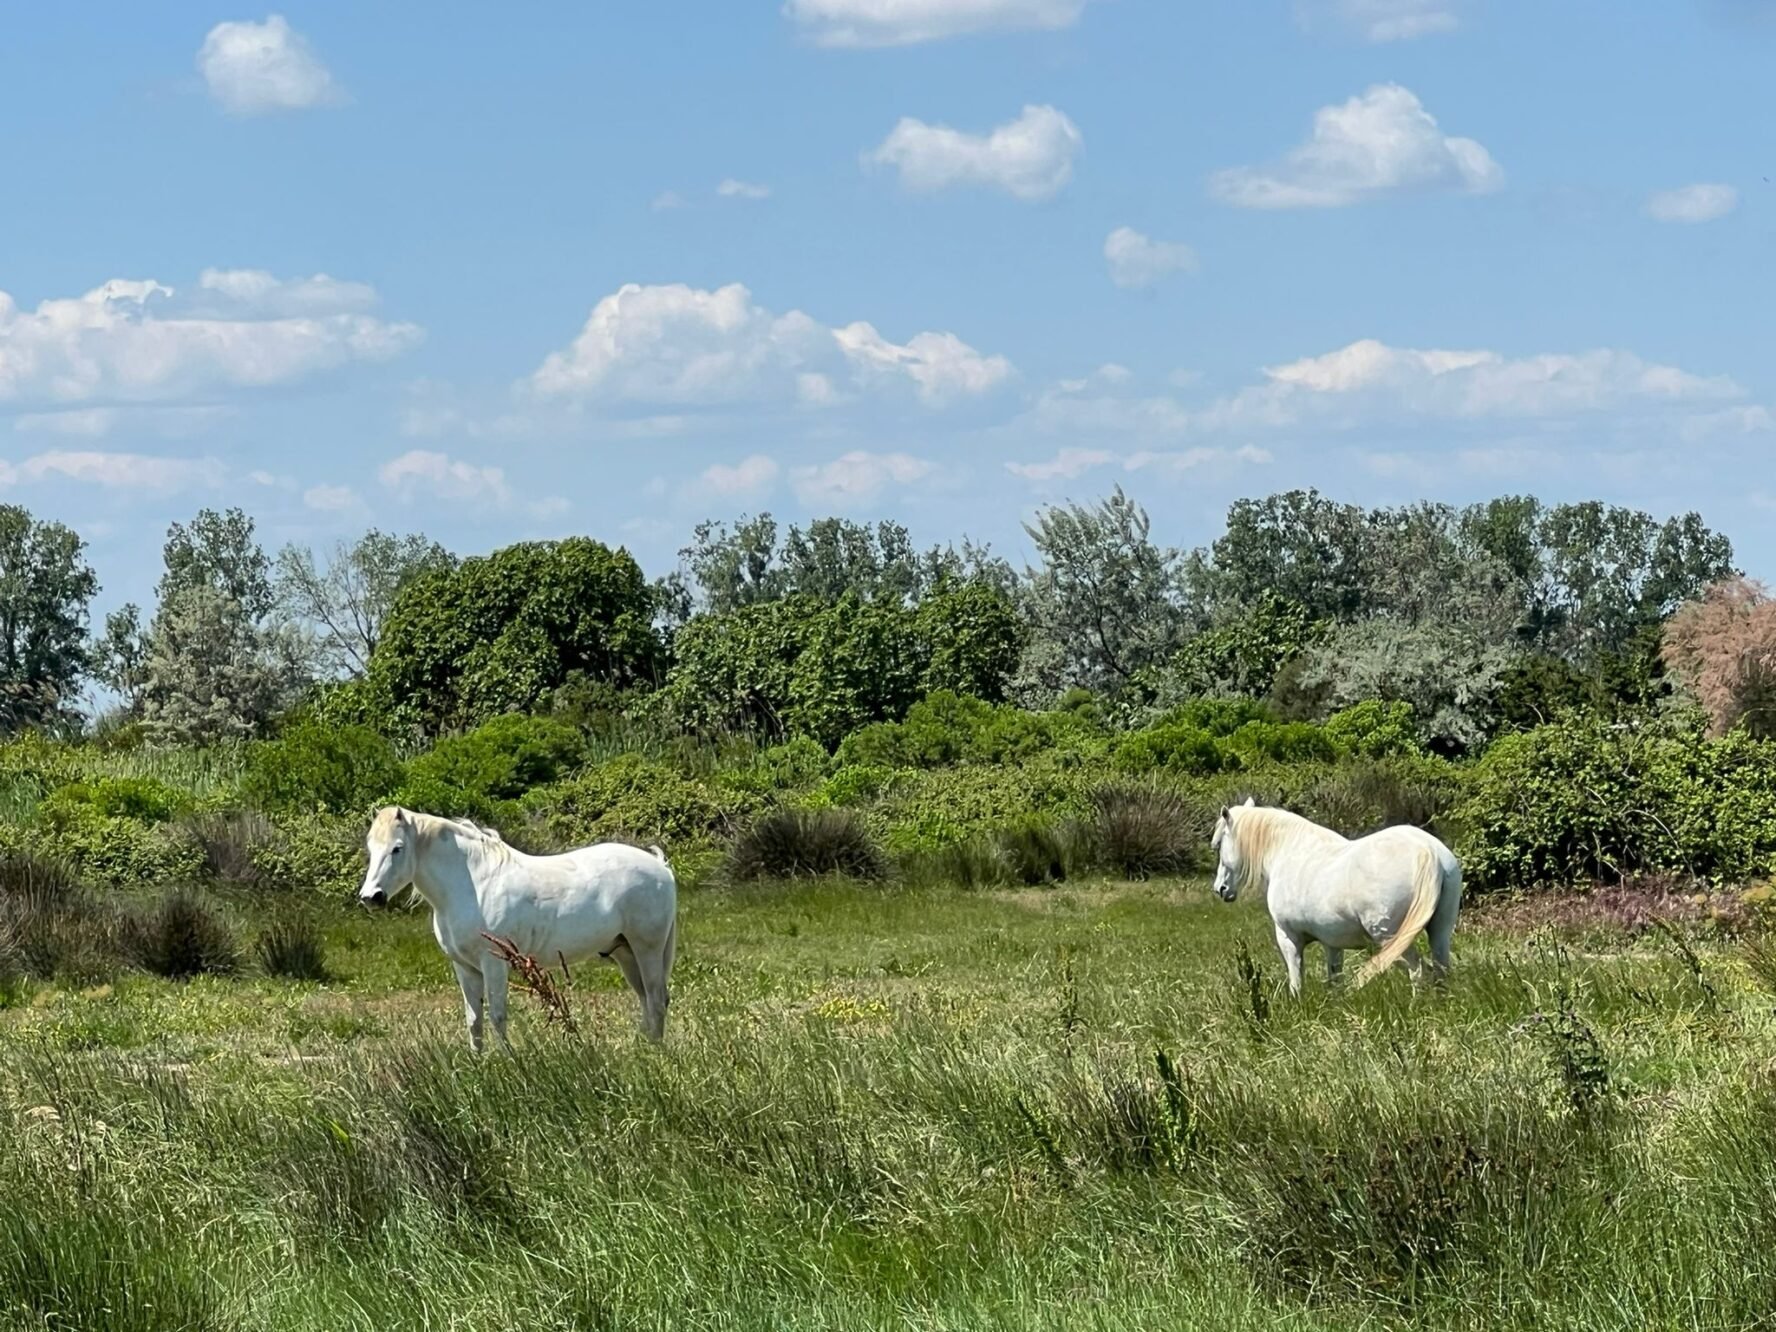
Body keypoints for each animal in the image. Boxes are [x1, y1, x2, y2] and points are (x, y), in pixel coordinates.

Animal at [358, 807, 678, 1049]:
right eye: (371, 848)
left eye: (397, 849)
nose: (371, 897)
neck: (473, 883)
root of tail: (659, 866)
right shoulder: (465, 967)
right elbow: (473, 1020)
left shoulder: (493, 964)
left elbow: (497, 1016)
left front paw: (508, 1062)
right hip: (625, 952)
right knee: (646, 1000)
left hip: (647, 949)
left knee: (655, 1000)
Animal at [1210, 798, 1461, 996]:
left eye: (1219, 844)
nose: (1220, 889)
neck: (1288, 852)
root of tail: (1428, 850)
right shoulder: (1332, 943)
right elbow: (1335, 979)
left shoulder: (1288, 937)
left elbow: (1296, 980)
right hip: (1439, 931)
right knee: (1440, 970)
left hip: (1391, 938)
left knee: (1418, 971)